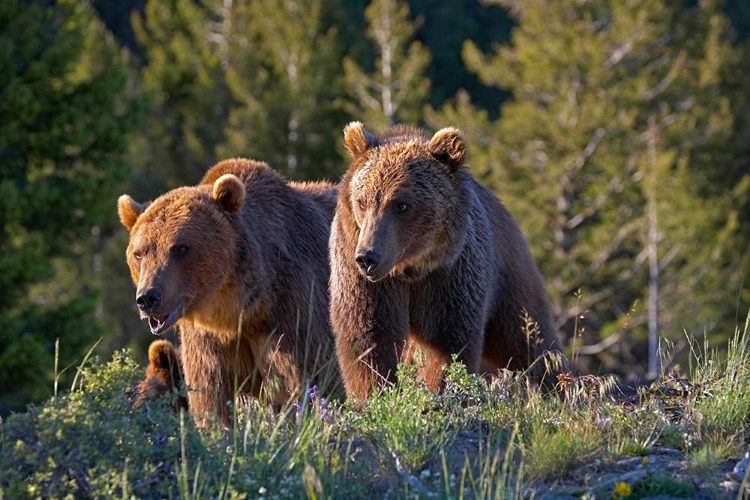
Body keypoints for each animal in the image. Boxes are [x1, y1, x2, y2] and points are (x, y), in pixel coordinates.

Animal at [119, 157, 342, 426]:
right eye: (139, 253)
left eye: (181, 247)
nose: (148, 298)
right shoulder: (208, 342)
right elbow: (211, 398)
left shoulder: (293, 313)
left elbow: (306, 380)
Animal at [332, 123, 568, 400]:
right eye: (362, 202)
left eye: (401, 204)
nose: (368, 257)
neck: (410, 267)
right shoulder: (364, 279)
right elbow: (370, 339)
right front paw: (374, 394)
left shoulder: (450, 276)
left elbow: (446, 342)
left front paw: (437, 394)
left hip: (508, 277)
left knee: (529, 340)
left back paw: (561, 389)